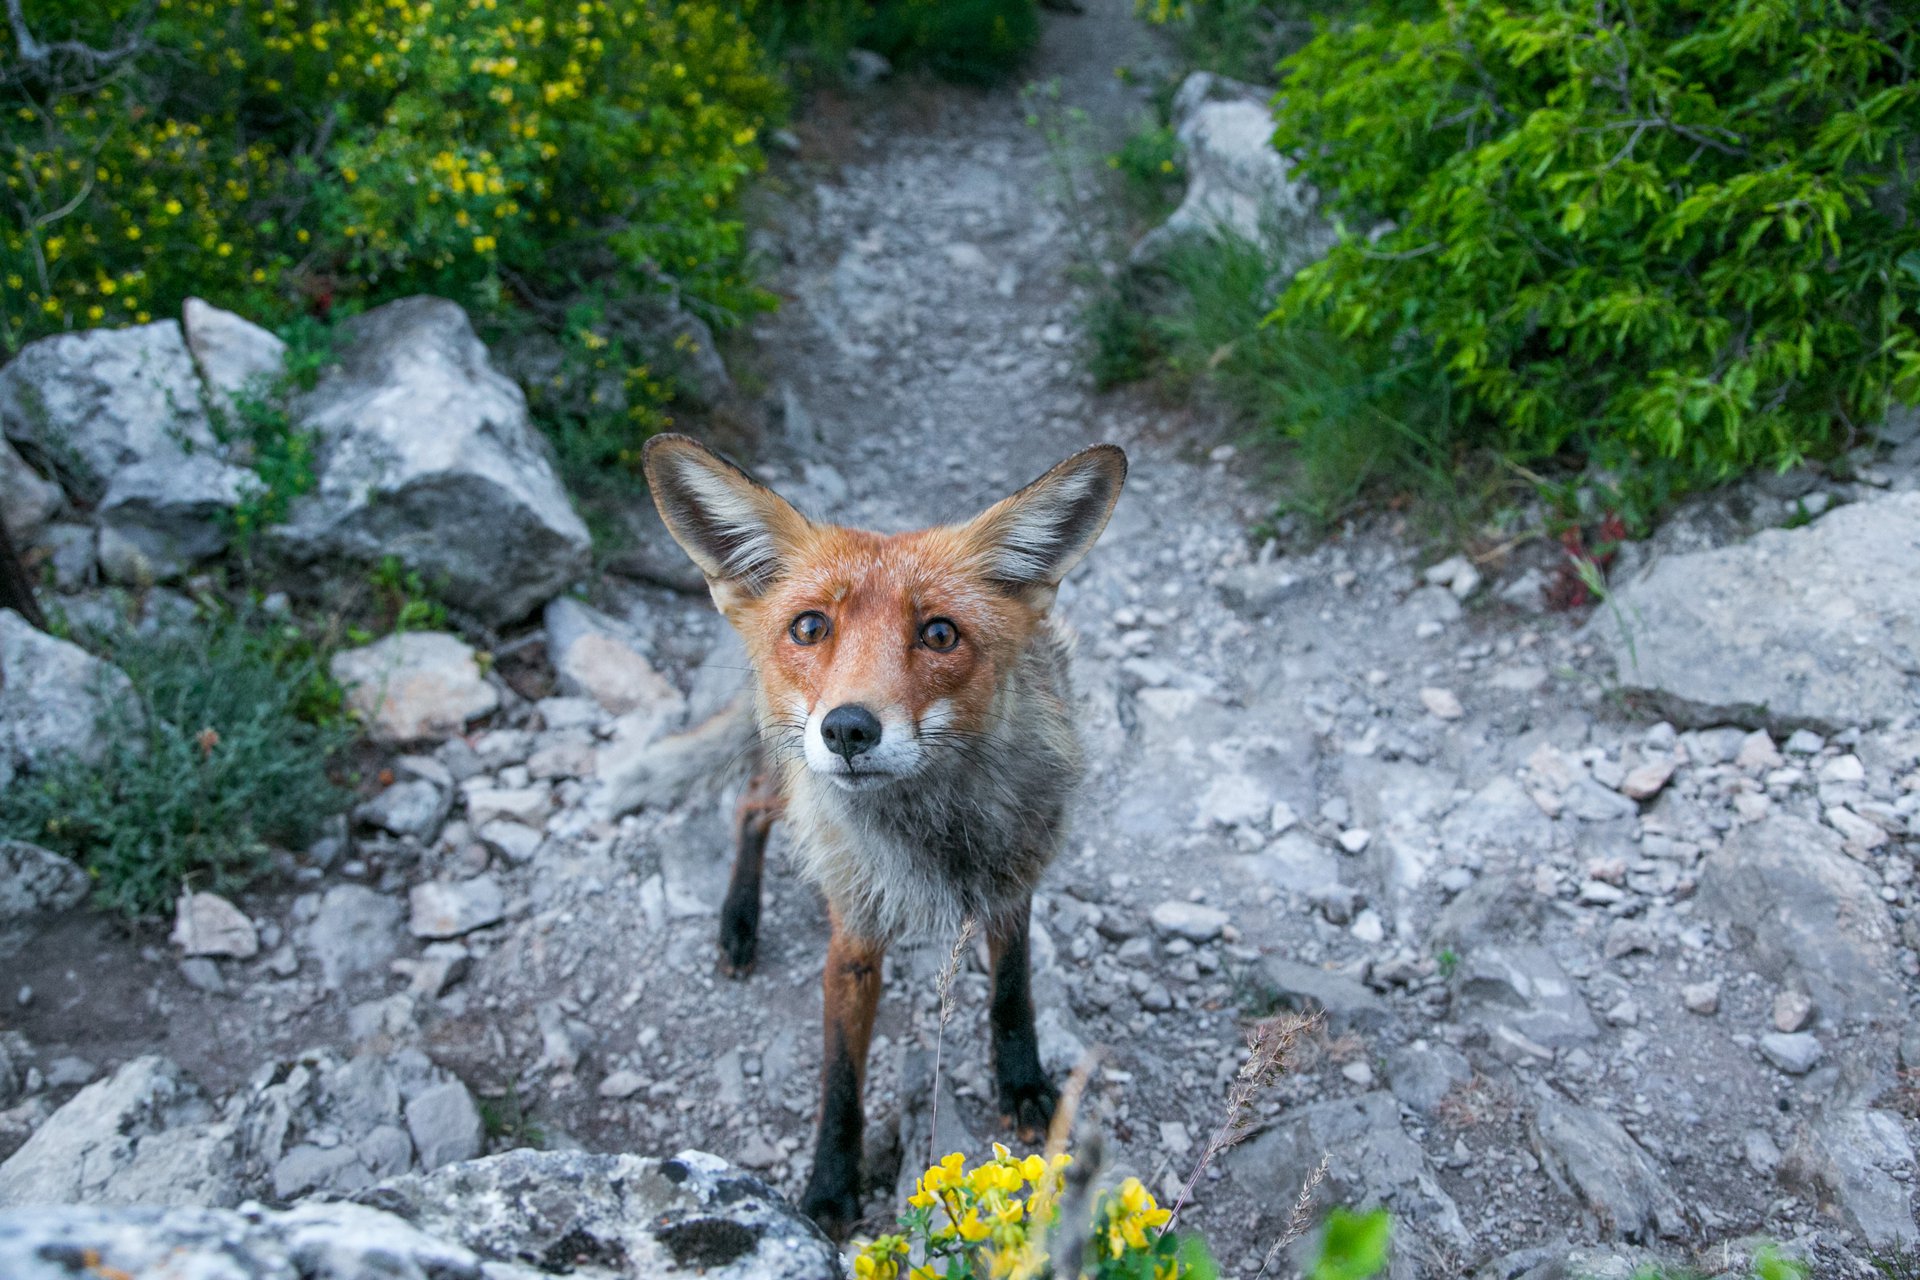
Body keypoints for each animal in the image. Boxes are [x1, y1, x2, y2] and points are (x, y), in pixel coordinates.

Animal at [645, 435, 1121, 1235]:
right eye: (810, 627)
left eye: (939, 634)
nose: (847, 729)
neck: (933, 833)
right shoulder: (855, 935)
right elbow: (842, 1079)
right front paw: (830, 1188)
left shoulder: (1012, 877)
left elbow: (1013, 994)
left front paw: (1022, 1084)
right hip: (790, 781)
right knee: (751, 806)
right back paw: (738, 921)